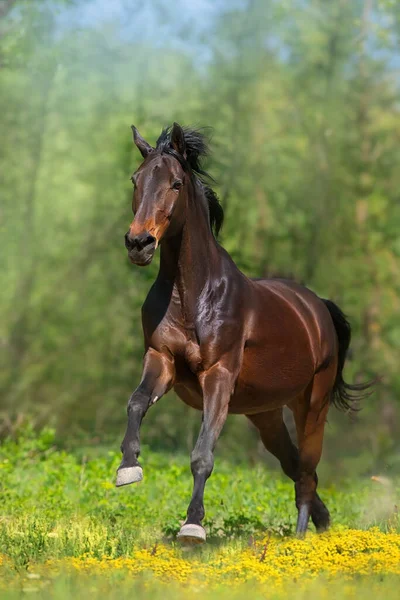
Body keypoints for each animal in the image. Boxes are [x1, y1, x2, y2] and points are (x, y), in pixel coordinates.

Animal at [116, 123, 372, 544]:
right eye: (136, 180)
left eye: (175, 183)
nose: (139, 243)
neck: (192, 294)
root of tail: (317, 307)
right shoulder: (161, 360)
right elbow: (136, 403)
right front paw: (128, 467)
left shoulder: (218, 375)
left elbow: (203, 454)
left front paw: (193, 526)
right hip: (265, 414)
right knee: (294, 466)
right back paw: (323, 526)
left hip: (312, 405)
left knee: (307, 472)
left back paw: (303, 539)